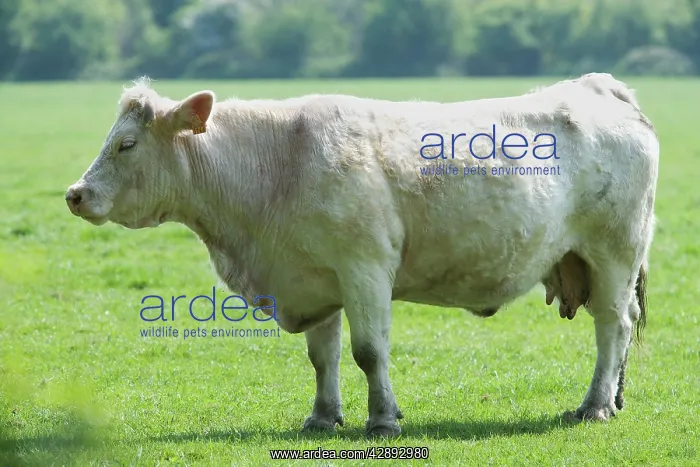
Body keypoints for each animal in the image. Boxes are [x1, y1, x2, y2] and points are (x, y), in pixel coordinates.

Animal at [65, 73, 658, 438]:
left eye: (126, 145)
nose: (75, 193)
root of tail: (598, 87)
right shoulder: (313, 278)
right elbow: (322, 357)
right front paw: (323, 417)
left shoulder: (365, 269)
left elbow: (369, 352)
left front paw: (383, 419)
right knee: (622, 323)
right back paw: (615, 398)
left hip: (614, 252)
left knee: (613, 326)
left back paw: (596, 405)